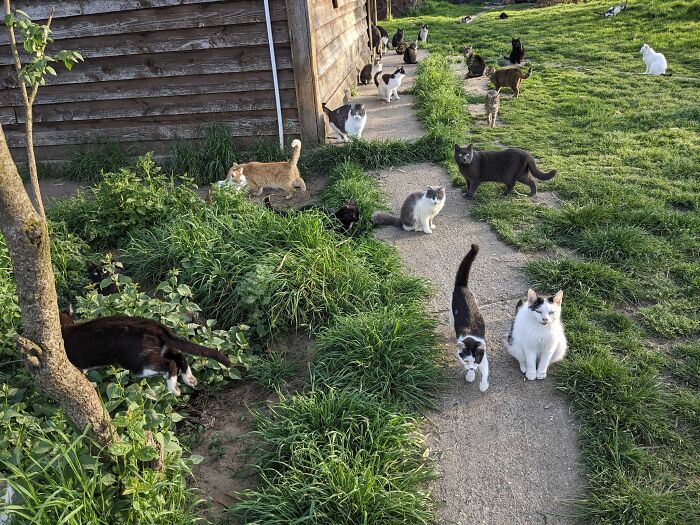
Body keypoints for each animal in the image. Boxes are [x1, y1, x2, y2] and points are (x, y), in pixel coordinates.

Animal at [60, 308, 230, 392]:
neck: (65, 326)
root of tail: (155, 325)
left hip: (137, 362)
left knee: (169, 364)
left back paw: (173, 388)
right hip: (159, 348)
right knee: (179, 356)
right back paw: (189, 378)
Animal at [452, 244, 490, 390]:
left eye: (476, 359)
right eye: (467, 360)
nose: (472, 368)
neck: (470, 336)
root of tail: (462, 286)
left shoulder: (483, 355)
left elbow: (485, 369)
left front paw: (483, 385)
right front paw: (470, 374)